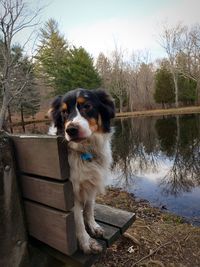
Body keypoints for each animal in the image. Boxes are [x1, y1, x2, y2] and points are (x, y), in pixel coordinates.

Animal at [47, 89, 115, 254]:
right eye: (64, 112)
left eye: (87, 106)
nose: (71, 130)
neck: (86, 151)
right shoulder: (71, 192)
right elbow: (77, 219)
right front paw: (86, 242)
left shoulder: (91, 184)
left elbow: (89, 208)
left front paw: (93, 226)